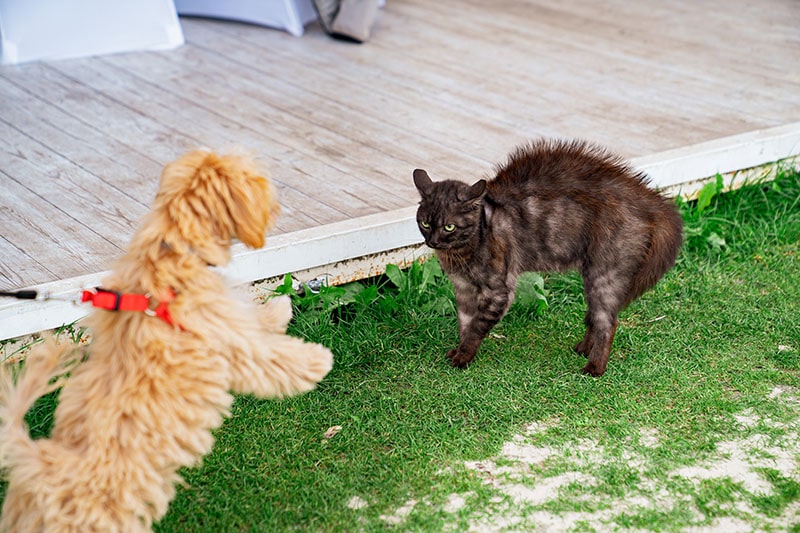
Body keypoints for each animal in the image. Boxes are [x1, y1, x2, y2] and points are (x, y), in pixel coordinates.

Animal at [416, 139, 684, 376]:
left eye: (449, 226)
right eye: (425, 223)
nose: (433, 241)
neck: (462, 252)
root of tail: (652, 202)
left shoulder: (498, 291)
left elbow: (475, 328)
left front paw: (463, 357)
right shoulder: (463, 289)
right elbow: (465, 324)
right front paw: (459, 351)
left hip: (605, 275)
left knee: (607, 322)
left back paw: (594, 368)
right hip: (593, 278)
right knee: (596, 318)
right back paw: (583, 349)